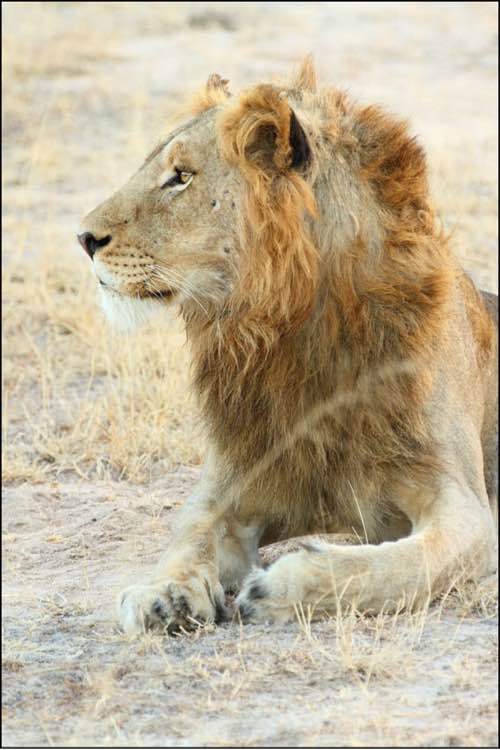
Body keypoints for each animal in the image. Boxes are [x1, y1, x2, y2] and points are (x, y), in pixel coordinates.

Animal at [78, 58, 498, 635]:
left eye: (181, 177)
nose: (83, 239)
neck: (291, 332)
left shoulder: (465, 507)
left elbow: (398, 567)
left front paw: (279, 587)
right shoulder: (229, 488)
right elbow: (187, 536)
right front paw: (163, 595)